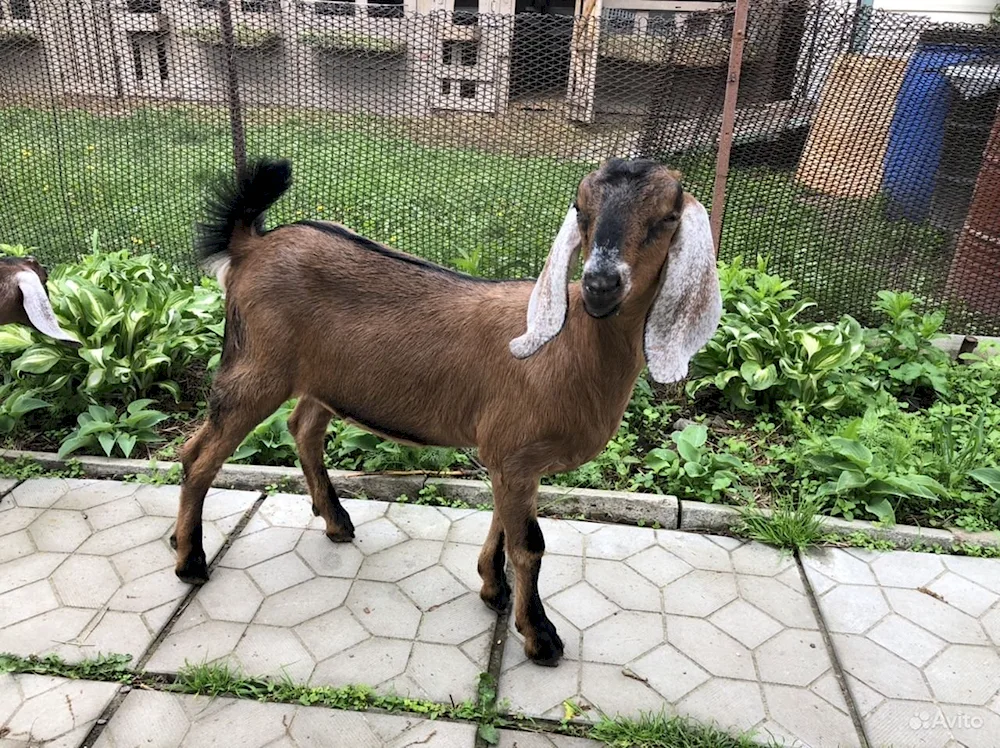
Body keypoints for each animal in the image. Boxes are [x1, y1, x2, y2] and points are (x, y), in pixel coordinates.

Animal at [172, 158, 720, 668]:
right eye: (582, 209)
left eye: (668, 216)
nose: (601, 283)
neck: (569, 348)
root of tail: (251, 246)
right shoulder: (515, 454)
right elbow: (530, 543)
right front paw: (540, 637)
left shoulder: (511, 458)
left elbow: (504, 522)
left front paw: (493, 589)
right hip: (256, 368)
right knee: (200, 454)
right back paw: (190, 561)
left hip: (322, 380)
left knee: (300, 427)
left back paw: (333, 522)